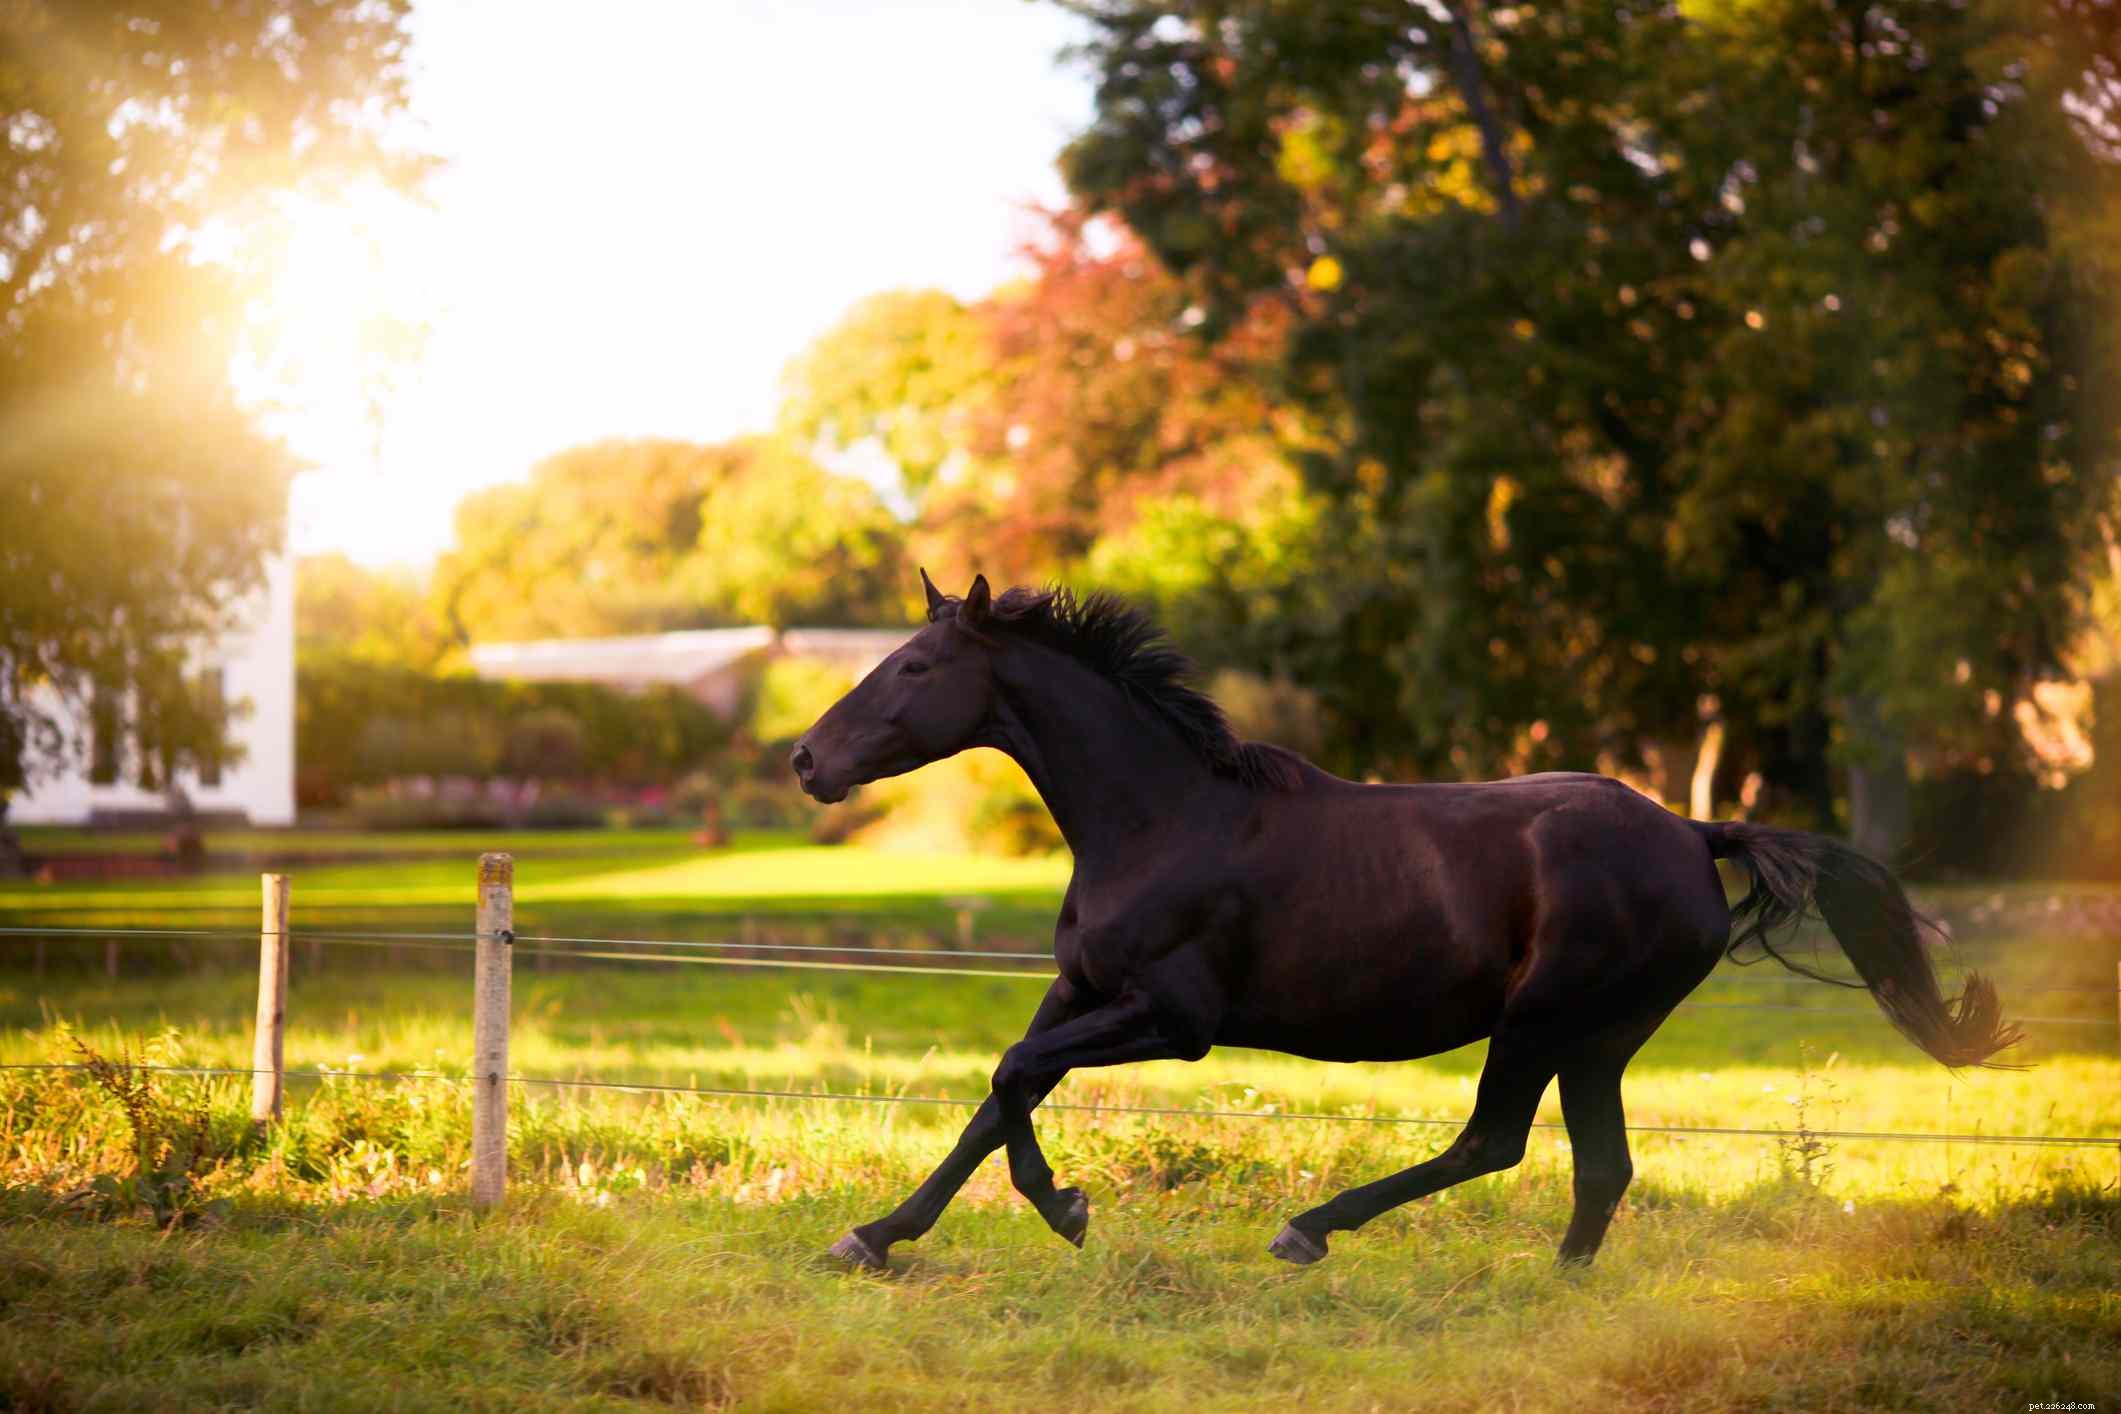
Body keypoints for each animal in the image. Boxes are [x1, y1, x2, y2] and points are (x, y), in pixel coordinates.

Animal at [790, 571, 2021, 1272]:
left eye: (915, 665)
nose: (805, 759)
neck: (1160, 817)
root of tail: (1690, 830)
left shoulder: (1172, 1019)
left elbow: (1009, 1077)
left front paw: (1065, 1209)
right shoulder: (1081, 992)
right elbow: (999, 1096)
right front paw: (875, 1238)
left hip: (1545, 1021)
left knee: (1497, 1141)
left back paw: (1310, 1230)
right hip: (1599, 1039)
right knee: (1600, 1166)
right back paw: (1558, 1289)